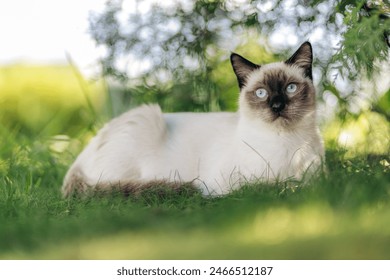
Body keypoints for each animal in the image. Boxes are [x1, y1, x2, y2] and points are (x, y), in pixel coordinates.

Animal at [61, 41, 322, 197]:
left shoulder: (315, 181)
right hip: (146, 118)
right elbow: (275, 187)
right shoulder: (231, 185)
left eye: (290, 88)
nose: (277, 106)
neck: (287, 143)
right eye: (261, 93)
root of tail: (79, 159)